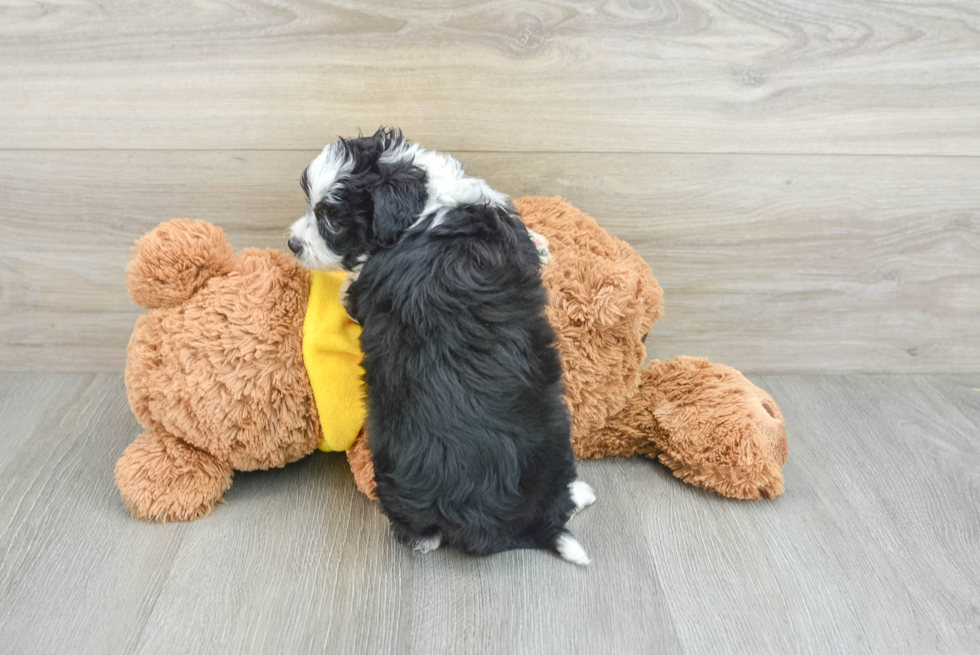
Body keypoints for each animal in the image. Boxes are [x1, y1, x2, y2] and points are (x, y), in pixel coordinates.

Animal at [290, 131, 596, 568]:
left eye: (330, 219)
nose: (292, 244)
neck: (421, 205)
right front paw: (541, 243)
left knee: (422, 536)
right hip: (554, 442)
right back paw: (577, 494)